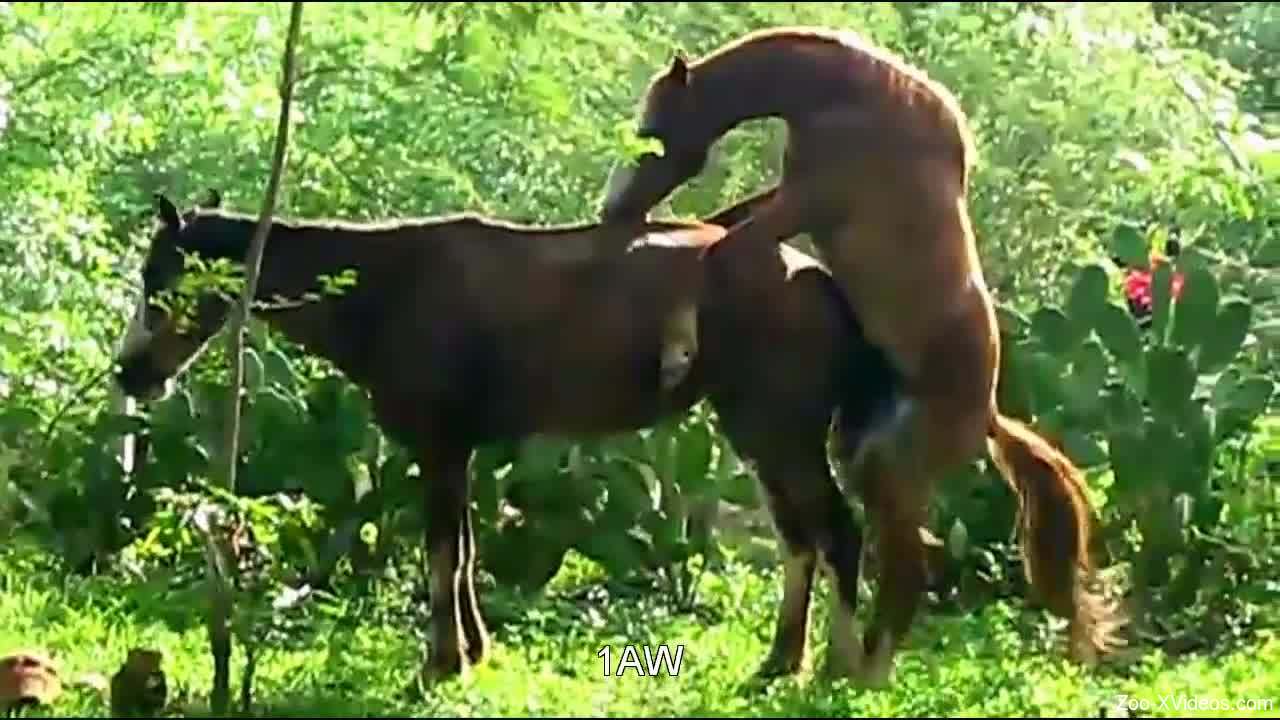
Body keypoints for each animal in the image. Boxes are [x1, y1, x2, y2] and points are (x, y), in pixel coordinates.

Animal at [112, 190, 904, 688]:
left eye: (161, 277)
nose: (129, 372)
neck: (383, 290)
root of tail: (821, 279)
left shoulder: (437, 445)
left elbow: (441, 552)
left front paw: (440, 662)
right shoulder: (456, 447)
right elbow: (462, 550)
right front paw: (472, 650)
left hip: (780, 431)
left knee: (837, 534)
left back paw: (838, 667)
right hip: (760, 432)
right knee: (801, 541)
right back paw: (781, 661)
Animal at [598, 26, 1126, 687]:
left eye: (653, 130)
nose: (613, 209)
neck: (847, 98)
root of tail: (985, 420)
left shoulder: (800, 204)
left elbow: (719, 244)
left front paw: (675, 350)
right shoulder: (785, 198)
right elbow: (718, 227)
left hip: (888, 469)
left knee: (903, 567)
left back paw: (862, 671)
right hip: (863, 457)